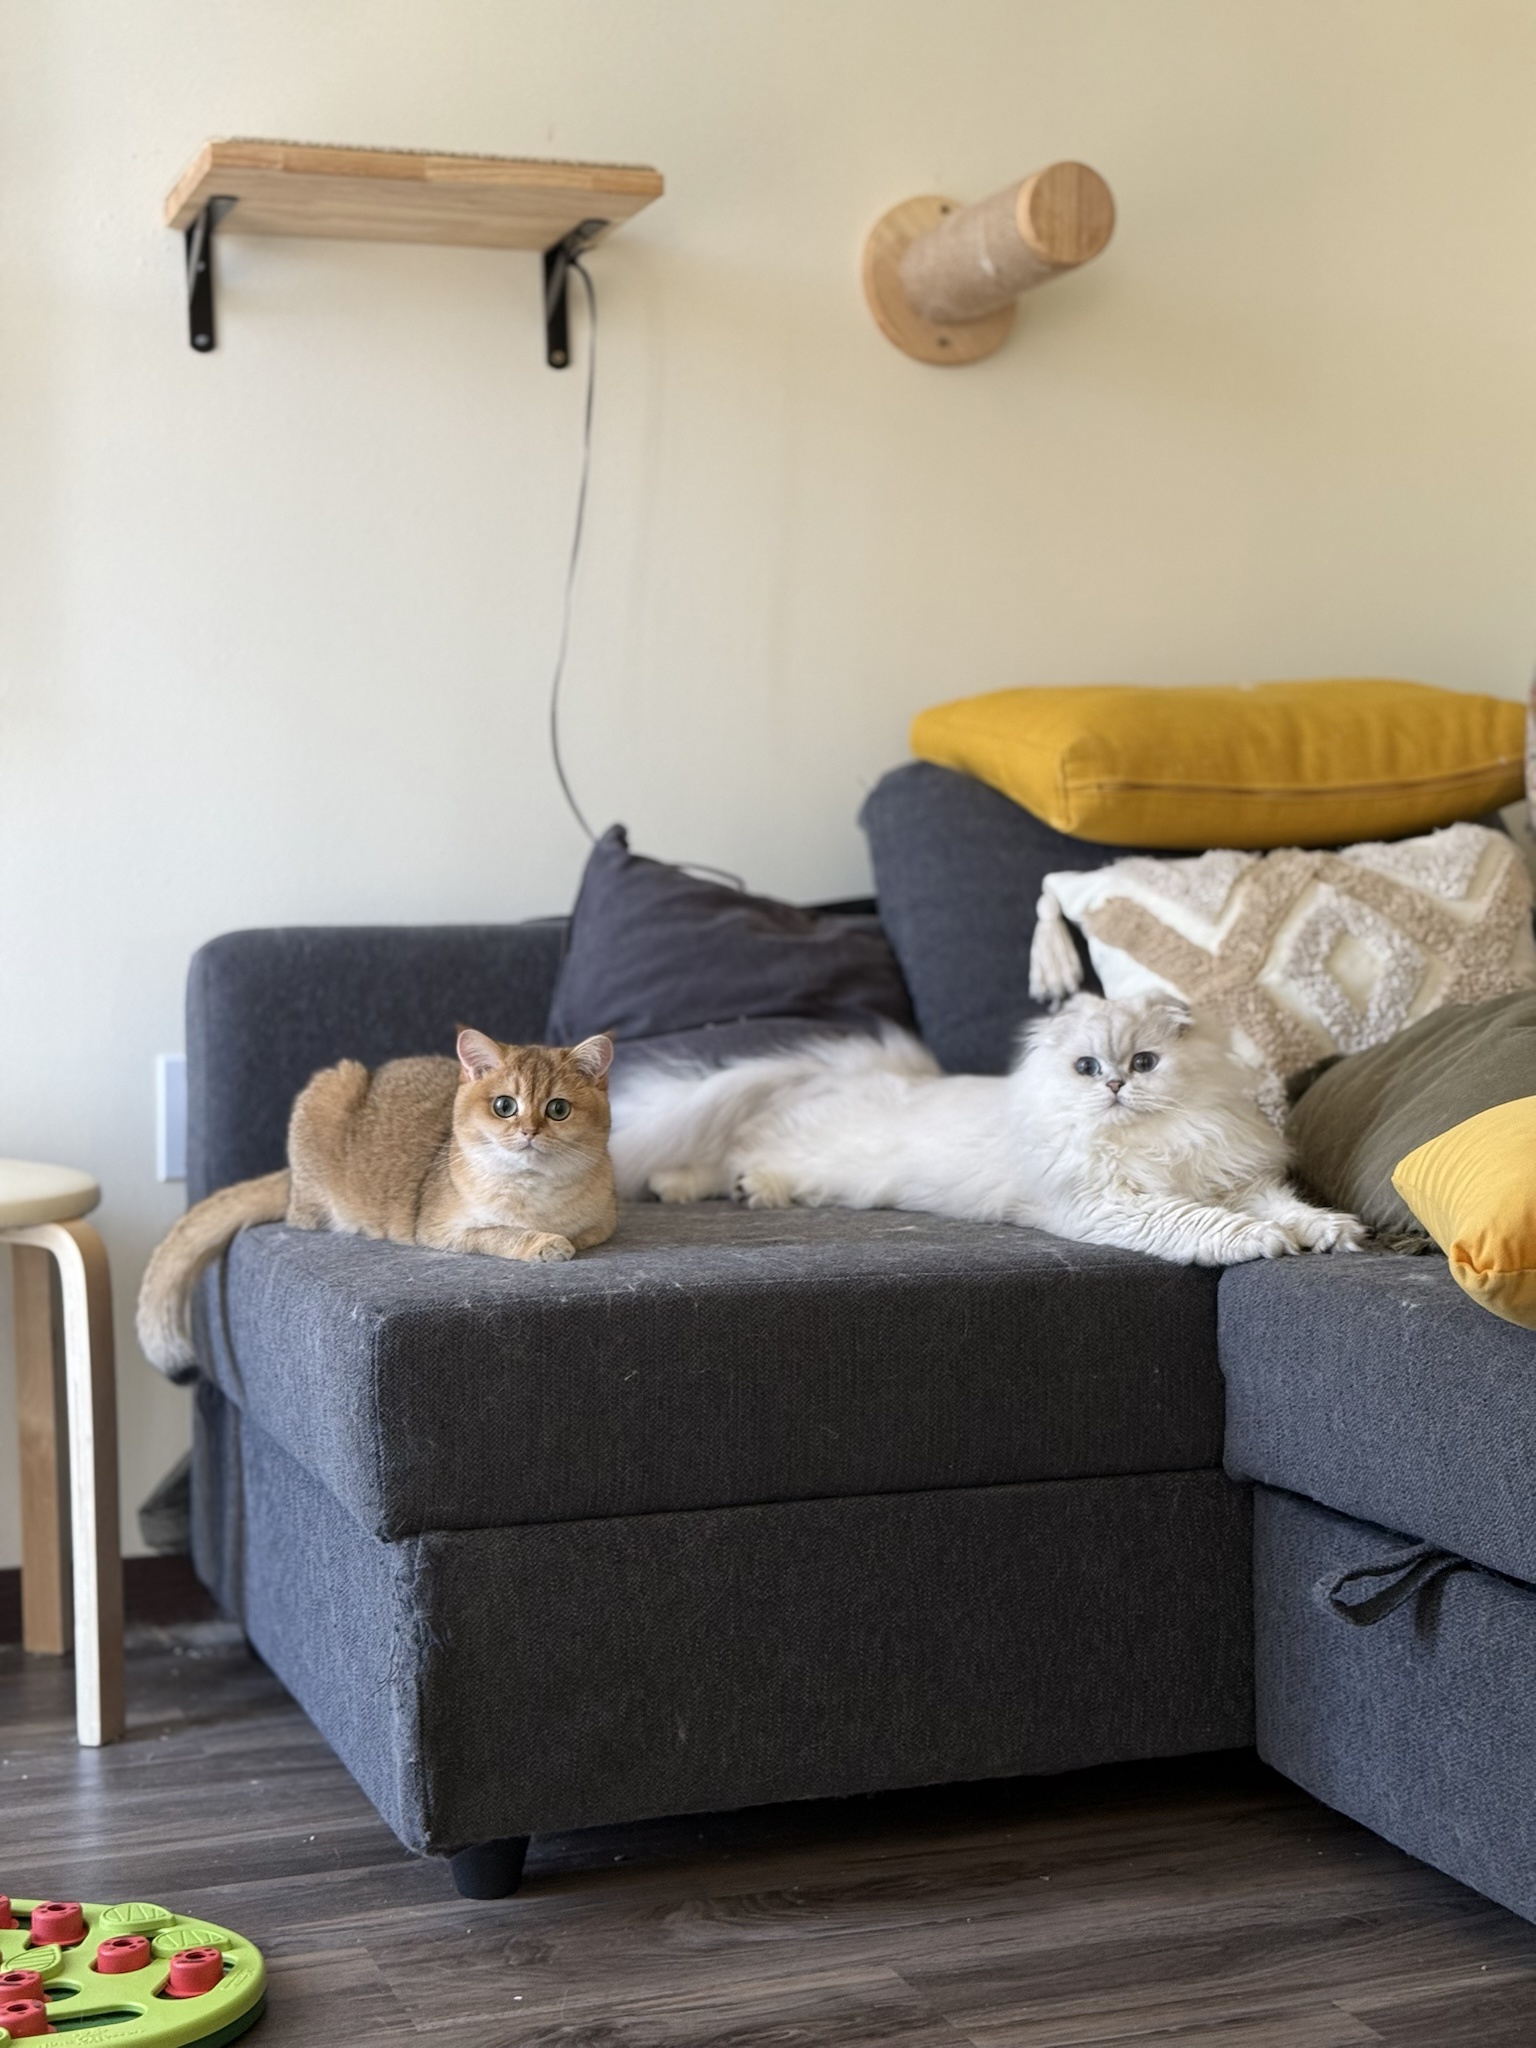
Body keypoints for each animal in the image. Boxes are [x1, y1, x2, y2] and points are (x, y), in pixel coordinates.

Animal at [606, 991, 1368, 1261]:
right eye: (1087, 1067)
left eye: (1144, 1062)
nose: (1116, 1086)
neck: (1154, 1141)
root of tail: (844, 1068)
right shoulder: (1115, 1203)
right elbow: (1210, 1224)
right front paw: (1264, 1243)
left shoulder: (1232, 1176)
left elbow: (1286, 1207)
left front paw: (1330, 1234)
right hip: (811, 1143)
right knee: (731, 1148)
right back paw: (693, 1186)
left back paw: (745, 1191)